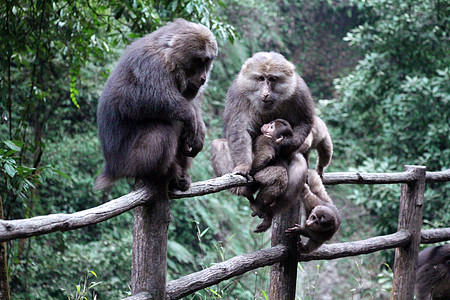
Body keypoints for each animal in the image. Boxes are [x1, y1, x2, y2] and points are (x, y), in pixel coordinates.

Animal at [94, 18, 217, 191]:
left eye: (208, 61)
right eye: (200, 61)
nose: (203, 78)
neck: (168, 59)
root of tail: (111, 169)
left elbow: (193, 104)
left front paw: (200, 129)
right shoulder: (151, 64)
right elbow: (131, 98)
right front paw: (188, 113)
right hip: (129, 162)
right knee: (161, 128)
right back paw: (161, 172)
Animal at [210, 51, 312, 227]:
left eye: (272, 79)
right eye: (260, 78)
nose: (265, 93)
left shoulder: (299, 90)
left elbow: (304, 122)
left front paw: (285, 144)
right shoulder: (238, 91)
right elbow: (239, 128)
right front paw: (243, 167)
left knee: (298, 164)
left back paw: (268, 211)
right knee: (219, 144)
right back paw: (244, 190)